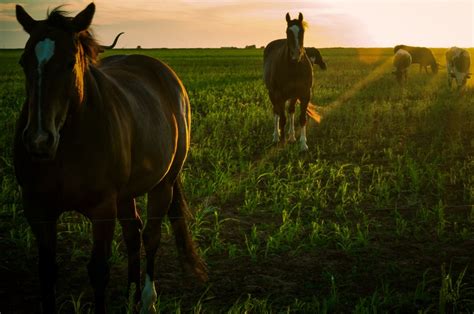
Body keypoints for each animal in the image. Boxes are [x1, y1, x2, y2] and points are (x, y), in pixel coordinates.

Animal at [14, 3, 206, 314]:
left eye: (70, 62)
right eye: (23, 62)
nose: (38, 140)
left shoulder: (103, 210)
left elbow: (98, 271)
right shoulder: (37, 208)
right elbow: (47, 270)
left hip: (163, 185)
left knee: (151, 235)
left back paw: (147, 299)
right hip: (125, 194)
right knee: (133, 234)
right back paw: (132, 295)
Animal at [262, 12, 314, 150]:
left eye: (302, 31)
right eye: (288, 31)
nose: (296, 54)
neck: (294, 67)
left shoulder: (305, 94)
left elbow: (302, 118)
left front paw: (303, 144)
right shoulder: (279, 95)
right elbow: (282, 118)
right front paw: (282, 142)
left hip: (293, 95)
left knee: (291, 111)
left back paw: (291, 136)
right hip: (272, 94)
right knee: (276, 112)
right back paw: (276, 136)